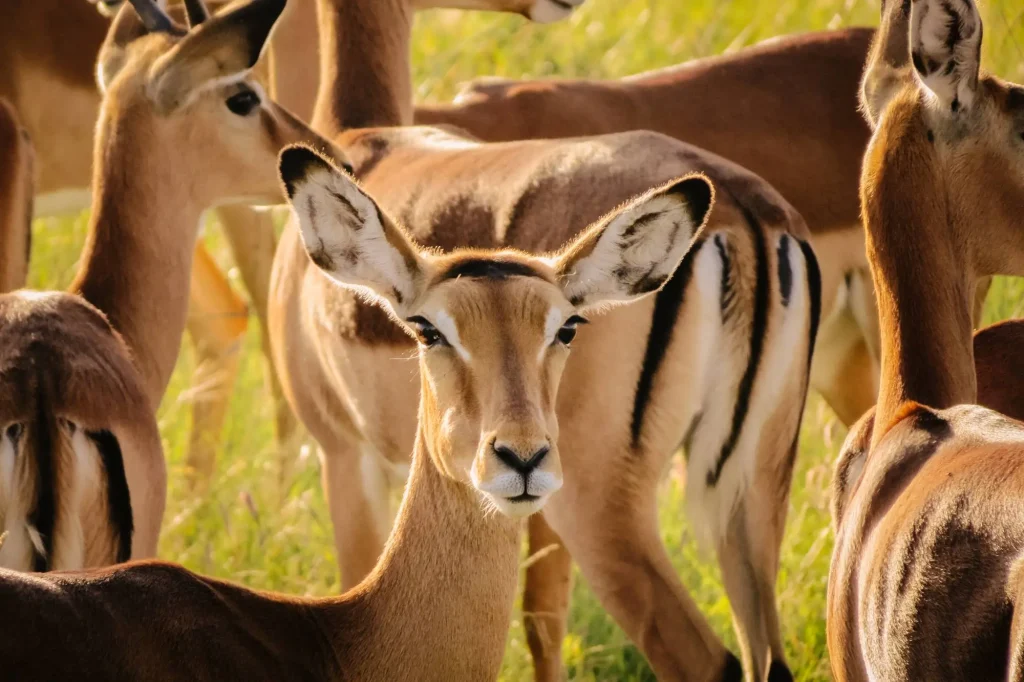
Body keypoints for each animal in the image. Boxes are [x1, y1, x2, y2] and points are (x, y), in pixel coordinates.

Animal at [270, 0, 821, 679]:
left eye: (567, 328)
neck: (367, 142)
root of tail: (740, 207)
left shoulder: (344, 458)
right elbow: (543, 616)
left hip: (603, 507)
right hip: (750, 499)